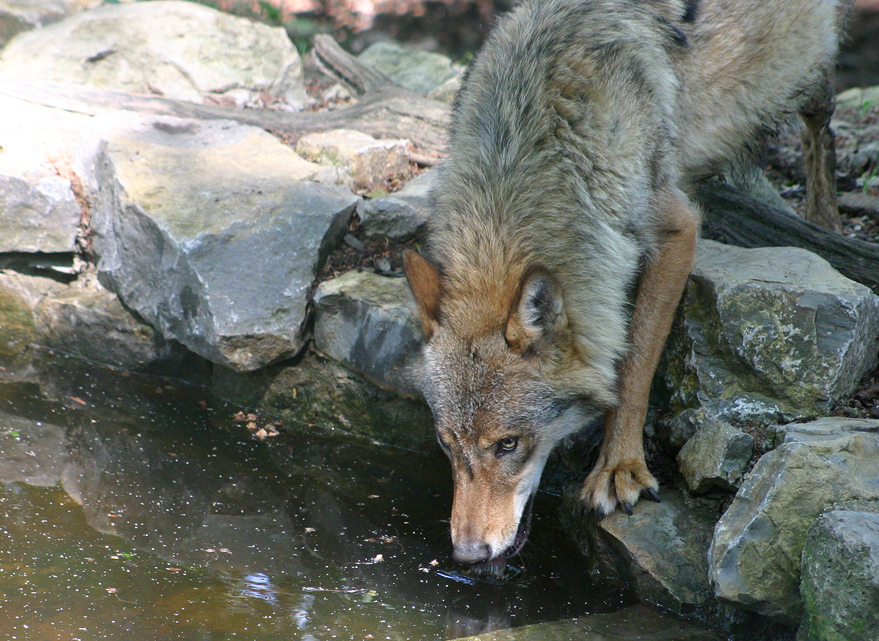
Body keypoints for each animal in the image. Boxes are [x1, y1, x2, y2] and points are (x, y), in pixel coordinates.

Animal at [404, 0, 852, 564]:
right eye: (447, 444)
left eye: (508, 444)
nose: (467, 556)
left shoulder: (676, 230)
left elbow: (634, 364)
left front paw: (619, 469)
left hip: (805, 71)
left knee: (823, 129)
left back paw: (824, 219)